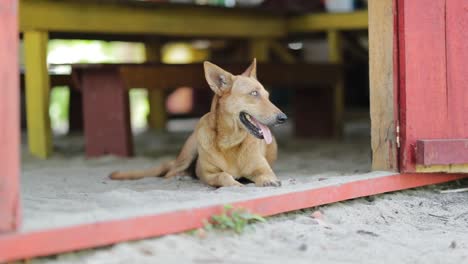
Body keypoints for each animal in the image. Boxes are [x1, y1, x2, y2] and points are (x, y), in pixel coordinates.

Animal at [109, 59, 288, 188]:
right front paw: (234, 183)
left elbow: (266, 174)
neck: (230, 142)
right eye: (254, 93)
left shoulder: (262, 168)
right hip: (189, 152)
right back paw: (182, 177)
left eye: (268, 96)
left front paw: (268, 181)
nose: (283, 118)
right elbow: (223, 175)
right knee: (170, 173)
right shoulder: (208, 174)